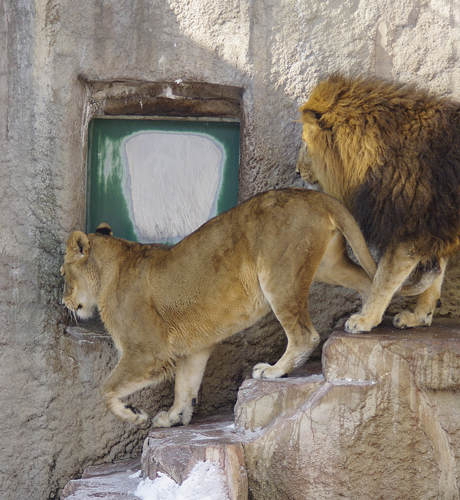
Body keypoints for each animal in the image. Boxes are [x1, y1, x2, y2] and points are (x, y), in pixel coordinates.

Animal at [62, 188, 374, 426]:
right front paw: (174, 417)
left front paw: (134, 415)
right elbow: (185, 386)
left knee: (304, 335)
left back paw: (274, 370)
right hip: (329, 266)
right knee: (369, 280)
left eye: (64, 275)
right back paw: (365, 319)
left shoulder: (148, 351)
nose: (64, 302)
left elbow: (106, 389)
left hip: (279, 277)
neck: (108, 271)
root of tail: (314, 194)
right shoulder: (192, 348)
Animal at [296, 74, 458, 332]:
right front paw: (419, 317)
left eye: (304, 142)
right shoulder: (434, 226)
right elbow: (434, 278)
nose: (297, 171)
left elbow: (383, 279)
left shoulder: (407, 227)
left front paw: (365, 319)